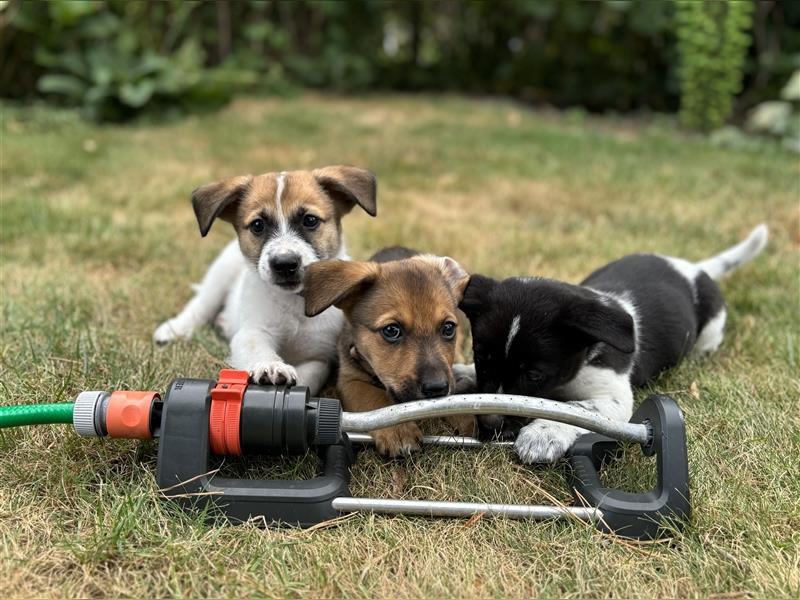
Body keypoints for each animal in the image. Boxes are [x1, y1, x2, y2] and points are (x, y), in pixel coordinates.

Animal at [154, 166, 378, 396]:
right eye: (257, 225)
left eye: (310, 220)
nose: (284, 264)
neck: (293, 303)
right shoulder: (252, 332)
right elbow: (258, 349)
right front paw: (271, 366)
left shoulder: (320, 355)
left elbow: (311, 375)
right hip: (220, 274)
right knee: (200, 306)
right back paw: (174, 329)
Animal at [304, 246, 472, 458]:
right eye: (391, 330)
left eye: (448, 328)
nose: (437, 388)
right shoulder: (349, 379)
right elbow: (374, 399)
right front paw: (398, 430)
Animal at [460, 225, 764, 464]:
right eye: (481, 358)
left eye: (534, 375)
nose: (488, 425)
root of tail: (693, 269)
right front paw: (463, 373)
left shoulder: (614, 397)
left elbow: (575, 410)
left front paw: (543, 433)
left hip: (711, 327)